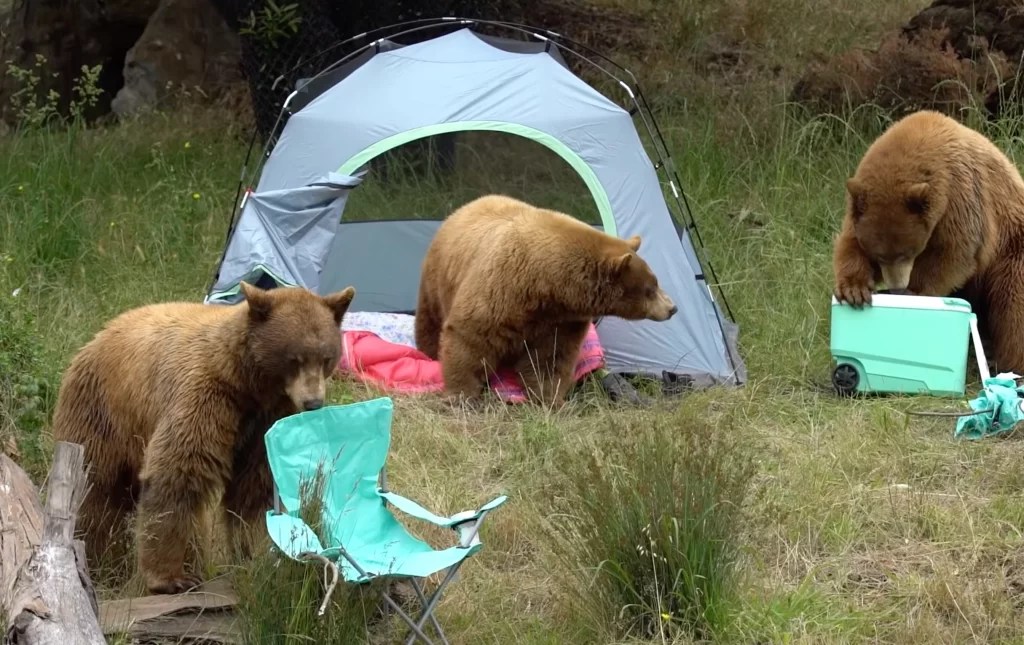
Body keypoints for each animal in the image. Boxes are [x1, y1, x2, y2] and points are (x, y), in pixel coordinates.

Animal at [49, 282, 355, 594]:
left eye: (327, 358)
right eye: (294, 359)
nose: (313, 402)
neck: (246, 384)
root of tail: (97, 336)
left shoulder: (265, 422)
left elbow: (254, 487)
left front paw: (260, 555)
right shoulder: (204, 398)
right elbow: (179, 474)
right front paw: (170, 577)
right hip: (102, 413)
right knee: (95, 490)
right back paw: (97, 557)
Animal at [414, 194, 678, 407]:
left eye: (655, 282)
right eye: (651, 288)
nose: (672, 308)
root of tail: (464, 207)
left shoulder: (561, 320)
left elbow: (550, 359)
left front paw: (548, 399)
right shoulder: (500, 289)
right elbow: (470, 337)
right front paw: (462, 394)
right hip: (437, 278)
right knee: (431, 320)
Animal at [832, 109, 1024, 374]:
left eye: (907, 252)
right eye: (880, 255)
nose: (897, 287)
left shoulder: (961, 196)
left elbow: (954, 253)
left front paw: (913, 292)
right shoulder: (859, 212)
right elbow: (850, 244)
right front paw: (854, 290)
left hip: (1011, 247)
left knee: (1014, 306)